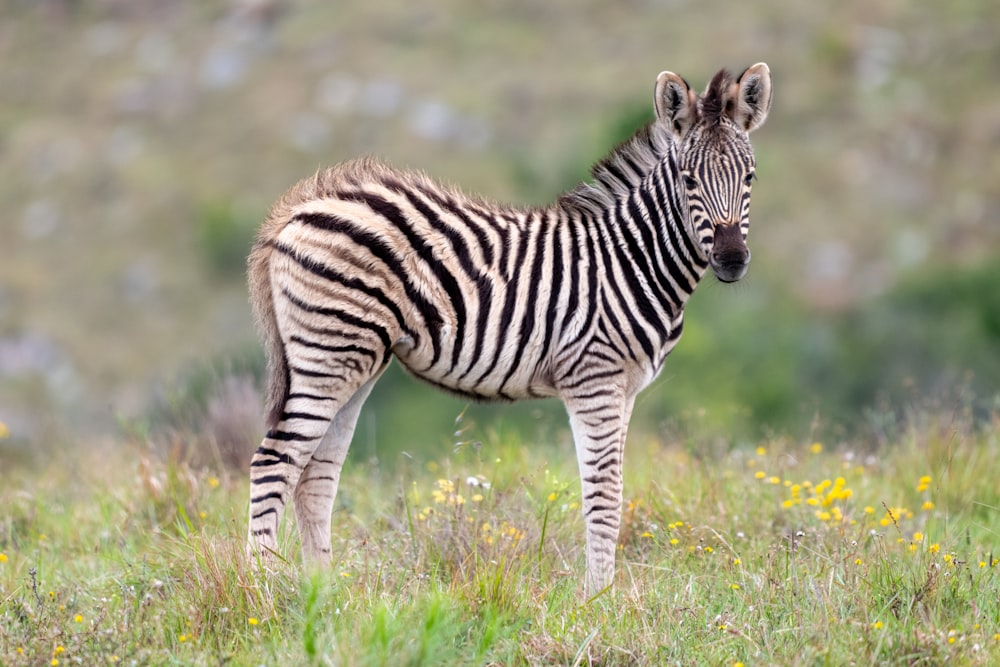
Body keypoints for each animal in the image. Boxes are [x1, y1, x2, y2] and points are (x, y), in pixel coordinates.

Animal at [248, 64, 772, 596]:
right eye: (688, 179)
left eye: (751, 176)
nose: (731, 260)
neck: (632, 259)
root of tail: (297, 207)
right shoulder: (594, 378)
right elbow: (603, 494)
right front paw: (597, 599)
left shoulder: (625, 389)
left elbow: (615, 491)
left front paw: (604, 593)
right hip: (329, 353)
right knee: (274, 463)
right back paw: (263, 590)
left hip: (356, 361)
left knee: (315, 475)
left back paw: (323, 593)